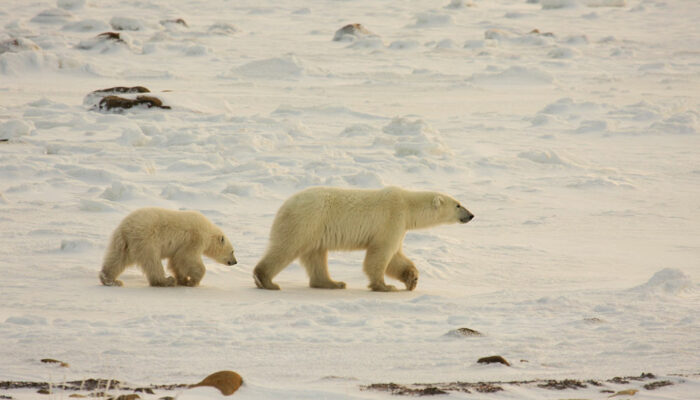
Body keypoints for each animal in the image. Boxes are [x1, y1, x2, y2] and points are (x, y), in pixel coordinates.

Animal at [99, 207, 237, 287]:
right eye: (232, 251)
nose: (235, 262)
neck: (209, 231)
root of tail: (125, 229)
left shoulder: (180, 246)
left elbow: (176, 260)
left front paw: (183, 279)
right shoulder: (195, 238)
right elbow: (187, 257)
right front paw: (192, 281)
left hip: (123, 243)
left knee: (116, 259)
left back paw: (109, 279)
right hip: (146, 240)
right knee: (152, 261)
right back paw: (166, 281)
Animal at [253, 186, 474, 292]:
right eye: (458, 204)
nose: (471, 215)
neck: (407, 204)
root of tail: (285, 205)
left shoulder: (399, 226)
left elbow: (395, 257)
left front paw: (412, 279)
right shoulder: (392, 219)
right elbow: (380, 254)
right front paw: (385, 286)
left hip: (315, 230)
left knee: (316, 256)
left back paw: (333, 283)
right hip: (306, 221)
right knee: (286, 248)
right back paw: (266, 281)